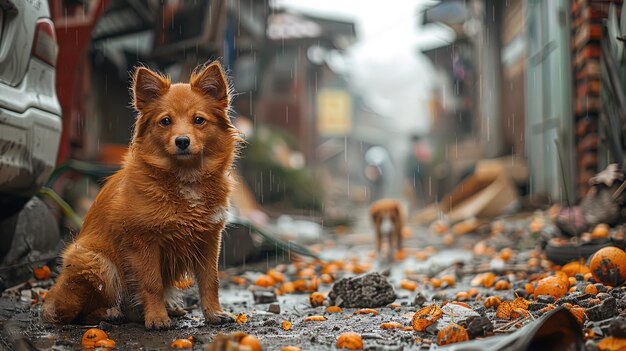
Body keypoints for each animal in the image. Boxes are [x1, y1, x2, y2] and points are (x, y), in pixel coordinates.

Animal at [41, 62, 240, 330]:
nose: (182, 141)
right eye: (165, 121)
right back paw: (112, 313)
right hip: (95, 262)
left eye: (199, 120)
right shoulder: (142, 242)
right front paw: (156, 317)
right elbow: (152, 283)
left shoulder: (209, 239)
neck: (184, 178)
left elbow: (211, 281)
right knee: (78, 313)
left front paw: (214, 314)